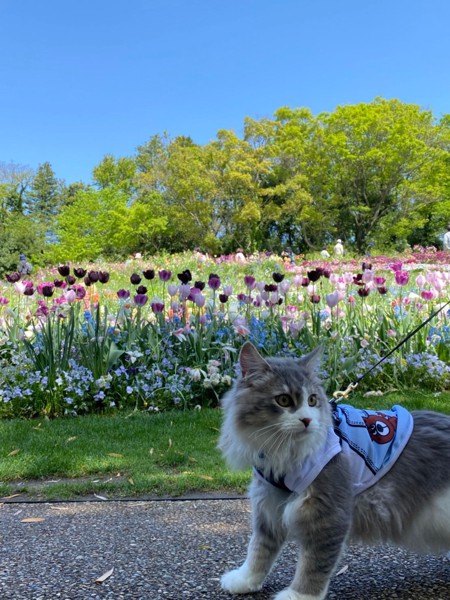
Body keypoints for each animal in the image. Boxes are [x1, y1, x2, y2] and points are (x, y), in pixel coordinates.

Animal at [218, 342, 450, 600]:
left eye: (312, 400)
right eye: (284, 400)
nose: (307, 420)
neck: (284, 455)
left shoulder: (327, 513)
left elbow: (314, 564)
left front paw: (299, 595)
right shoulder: (268, 504)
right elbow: (259, 551)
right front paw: (244, 580)